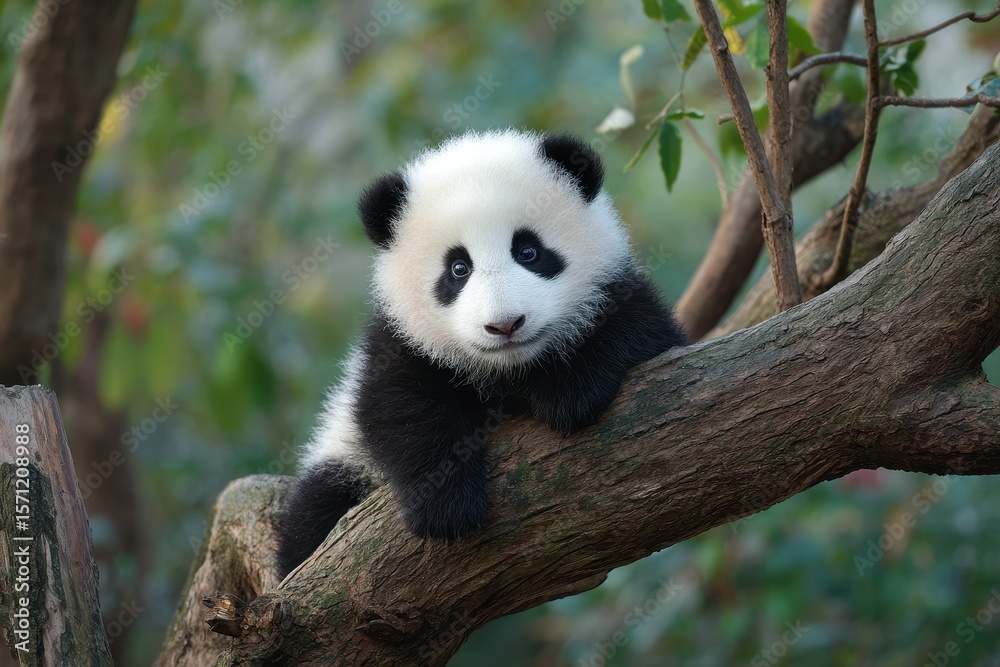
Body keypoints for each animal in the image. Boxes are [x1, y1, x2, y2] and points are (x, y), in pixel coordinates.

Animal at [276, 129, 686, 577]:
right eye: (458, 268)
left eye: (528, 252)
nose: (505, 325)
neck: (509, 371)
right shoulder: (400, 342)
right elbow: (399, 408)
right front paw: (446, 507)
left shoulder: (621, 294)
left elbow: (636, 331)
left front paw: (570, 392)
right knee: (314, 513)